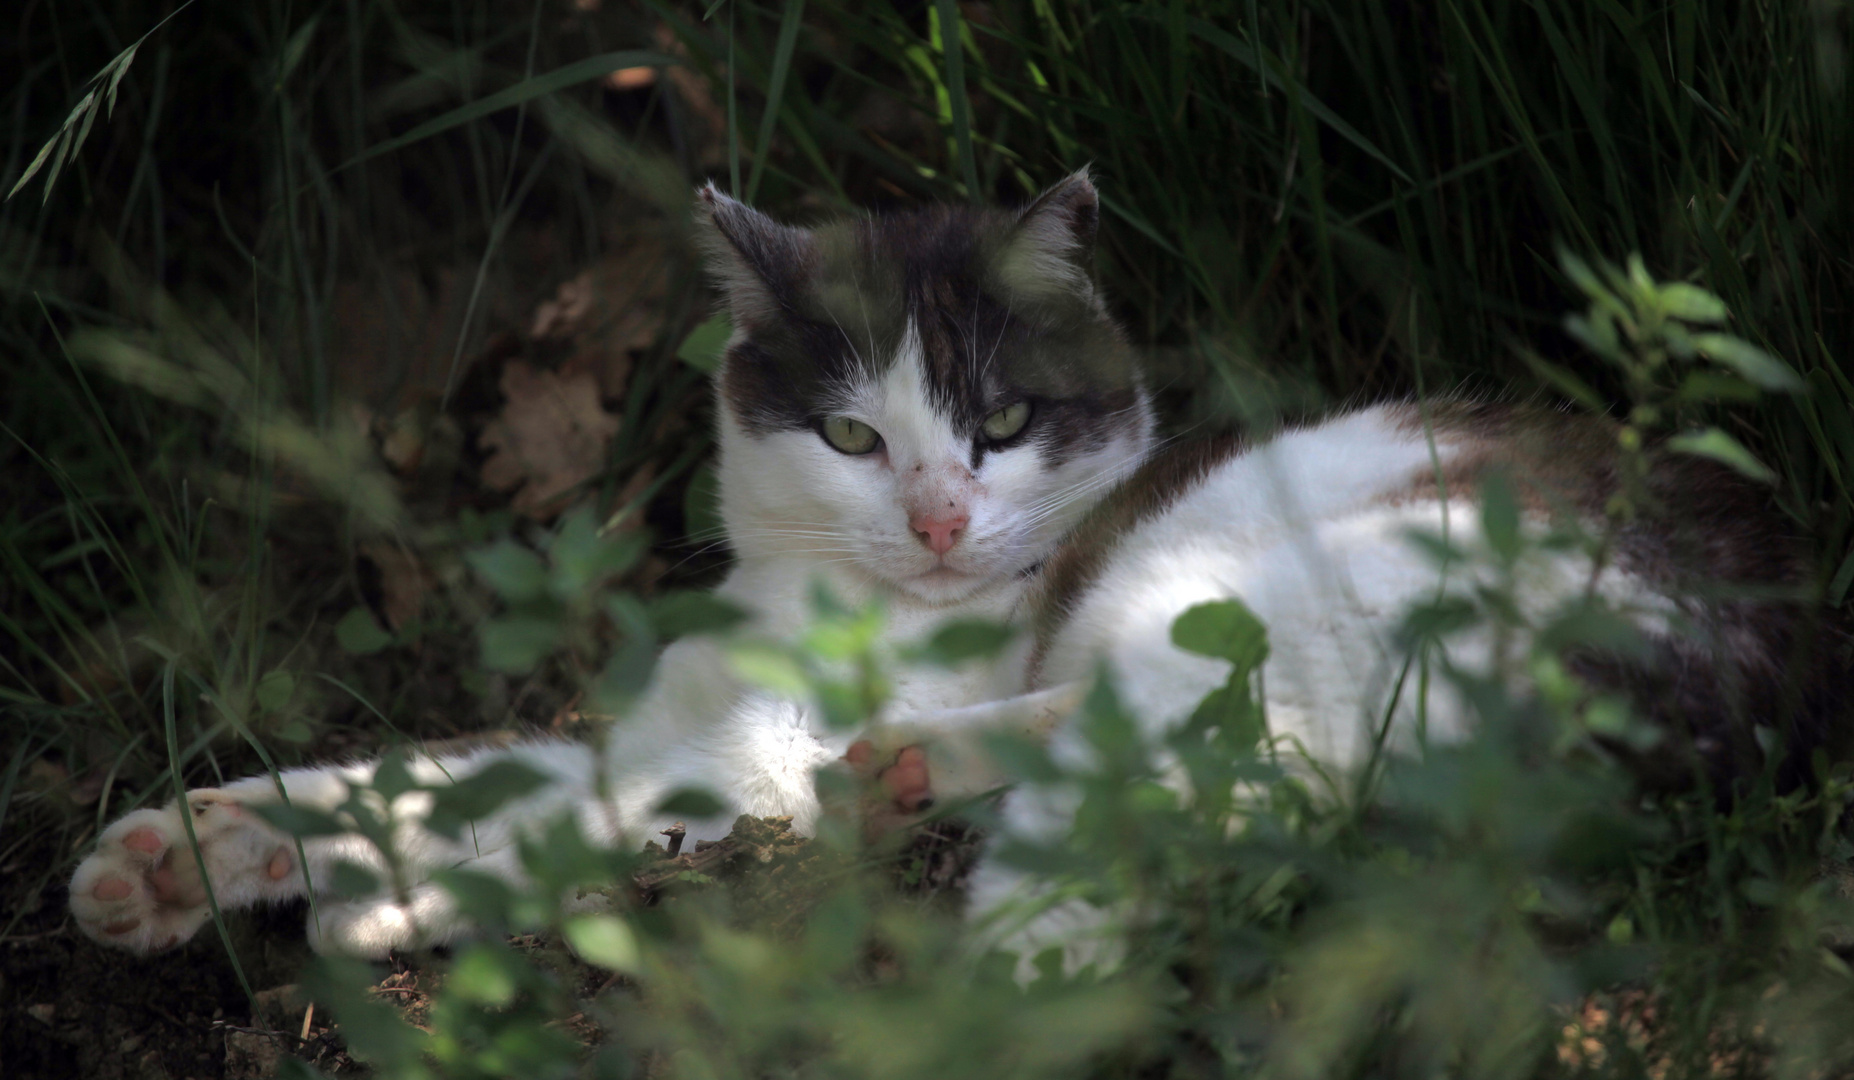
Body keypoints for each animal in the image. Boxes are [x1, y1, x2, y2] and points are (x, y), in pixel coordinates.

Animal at [65, 171, 1831, 970]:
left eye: (999, 423)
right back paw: (909, 775)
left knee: (1216, 787)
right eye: (852, 436)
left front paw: (375, 898)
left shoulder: (737, 761)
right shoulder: (683, 731)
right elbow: (450, 775)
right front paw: (186, 857)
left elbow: (573, 806)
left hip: (1234, 589)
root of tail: (1756, 660)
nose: (931, 520)